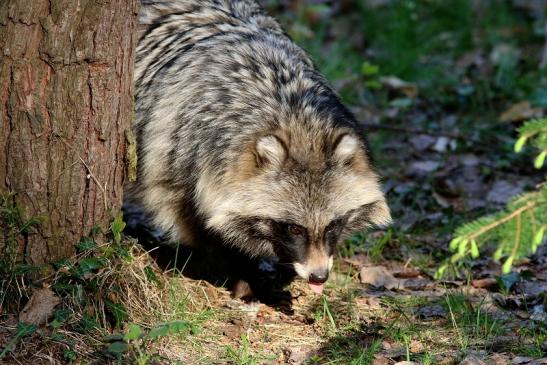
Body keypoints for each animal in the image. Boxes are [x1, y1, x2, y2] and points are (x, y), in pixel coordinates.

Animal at [131, 0, 392, 292]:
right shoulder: (176, 156)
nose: (319, 277)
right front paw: (234, 265)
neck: (293, 115)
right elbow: (194, 219)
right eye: (294, 228)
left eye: (332, 225)